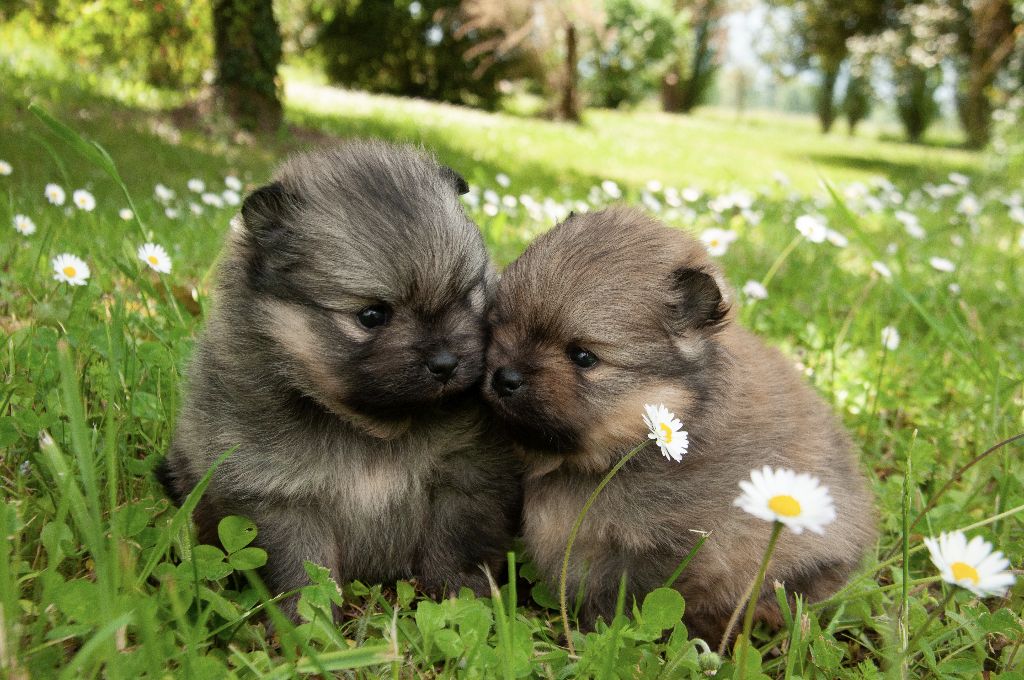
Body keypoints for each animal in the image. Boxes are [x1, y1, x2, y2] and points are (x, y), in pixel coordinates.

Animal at [160, 140, 524, 614]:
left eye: (466, 296)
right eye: (371, 315)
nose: (446, 362)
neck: (371, 428)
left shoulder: (465, 475)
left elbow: (454, 544)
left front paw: (463, 598)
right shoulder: (282, 494)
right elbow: (302, 568)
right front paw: (307, 622)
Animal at [483, 206, 876, 643]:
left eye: (583, 356)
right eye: (500, 324)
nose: (504, 377)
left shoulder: (677, 547)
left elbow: (633, 593)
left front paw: (600, 635)